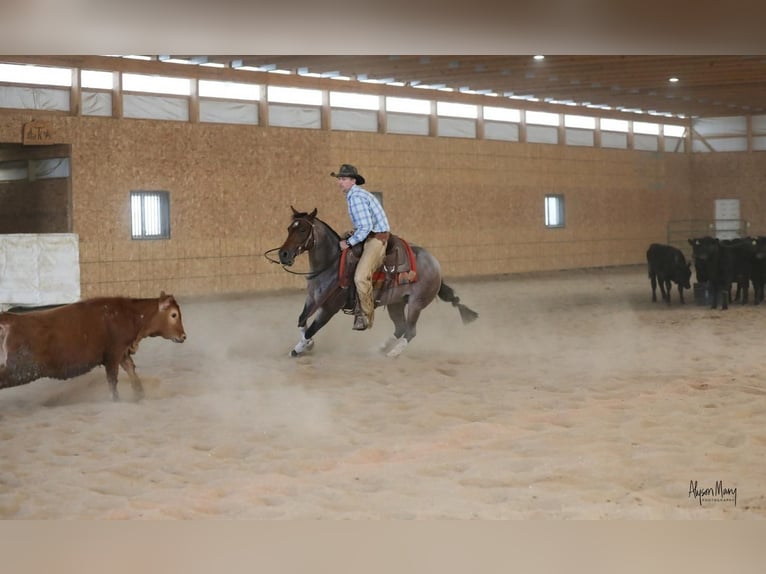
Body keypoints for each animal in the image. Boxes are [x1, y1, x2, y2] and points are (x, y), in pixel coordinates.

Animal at [0, 290, 186, 402]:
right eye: (174, 315)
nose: (183, 336)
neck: (130, 315)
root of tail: (11, 319)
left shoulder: (122, 352)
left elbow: (131, 370)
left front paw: (139, 395)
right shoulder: (113, 354)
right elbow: (112, 379)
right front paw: (116, 400)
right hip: (21, 369)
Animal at [270, 207, 474, 360]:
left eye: (303, 230)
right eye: (289, 228)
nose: (284, 254)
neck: (331, 264)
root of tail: (435, 264)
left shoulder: (329, 308)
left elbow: (311, 329)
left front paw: (298, 349)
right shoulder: (312, 299)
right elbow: (301, 320)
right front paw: (308, 345)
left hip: (416, 303)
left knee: (410, 331)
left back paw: (393, 353)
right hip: (396, 303)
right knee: (400, 328)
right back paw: (378, 349)